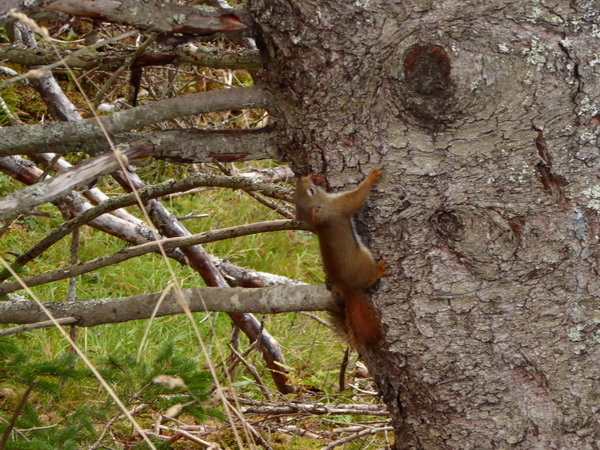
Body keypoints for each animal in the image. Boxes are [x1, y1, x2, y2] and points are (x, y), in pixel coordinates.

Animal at [292, 167, 386, 350]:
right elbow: (357, 198)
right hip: (364, 260)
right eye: (312, 191)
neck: (322, 217)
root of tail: (347, 288)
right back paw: (378, 272)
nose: (301, 178)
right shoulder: (340, 206)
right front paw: (371, 177)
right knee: (368, 280)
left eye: (294, 194)